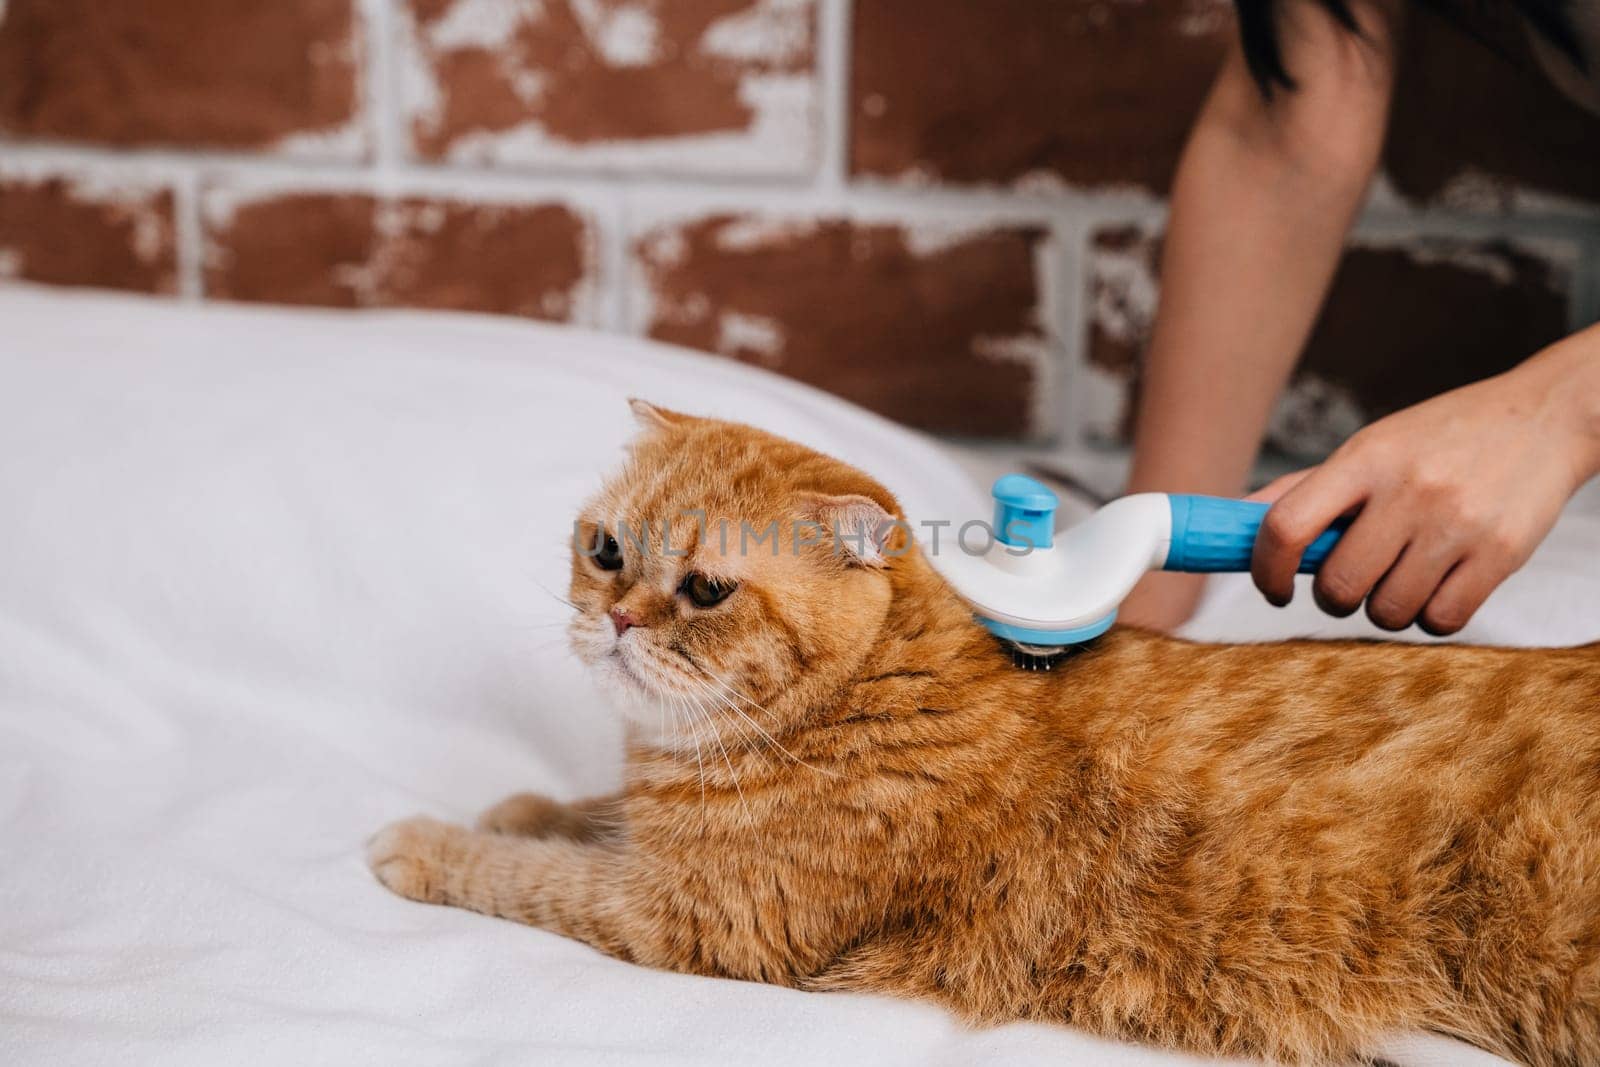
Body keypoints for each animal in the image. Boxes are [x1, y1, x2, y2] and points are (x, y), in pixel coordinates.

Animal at [368, 403, 1600, 1067]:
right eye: (606, 550)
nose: (616, 618)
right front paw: (529, 800)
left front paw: (426, 841)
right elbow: (578, 818)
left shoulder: (692, 922)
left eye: (707, 589)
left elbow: (526, 875)